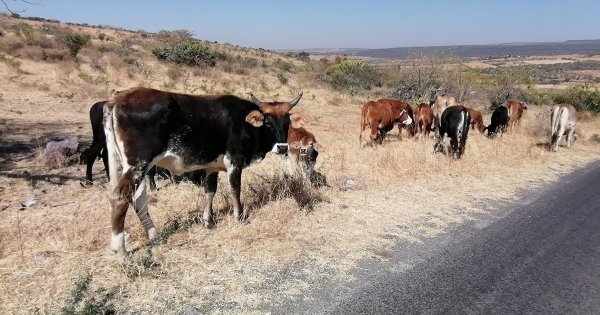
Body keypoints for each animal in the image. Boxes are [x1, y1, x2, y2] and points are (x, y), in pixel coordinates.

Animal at [102, 87, 304, 256]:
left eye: (287, 122)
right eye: (267, 122)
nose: (282, 147)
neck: (243, 121)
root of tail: (117, 98)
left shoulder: (211, 167)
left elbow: (210, 191)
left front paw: (208, 221)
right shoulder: (235, 161)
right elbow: (235, 190)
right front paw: (239, 217)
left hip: (131, 167)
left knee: (138, 199)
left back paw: (154, 235)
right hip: (138, 166)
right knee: (120, 198)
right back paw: (120, 250)